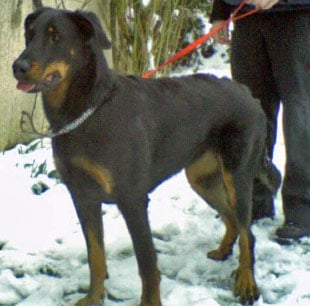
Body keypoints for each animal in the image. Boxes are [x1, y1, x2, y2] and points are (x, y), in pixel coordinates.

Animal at [12, 7, 278, 306]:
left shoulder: (133, 200)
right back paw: (223, 252)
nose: (17, 67)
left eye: (55, 37)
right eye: (29, 35)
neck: (87, 110)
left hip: (238, 175)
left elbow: (147, 263)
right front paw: (93, 297)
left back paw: (246, 281)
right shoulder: (83, 197)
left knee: (247, 231)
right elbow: (95, 256)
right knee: (232, 219)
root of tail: (247, 93)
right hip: (202, 178)